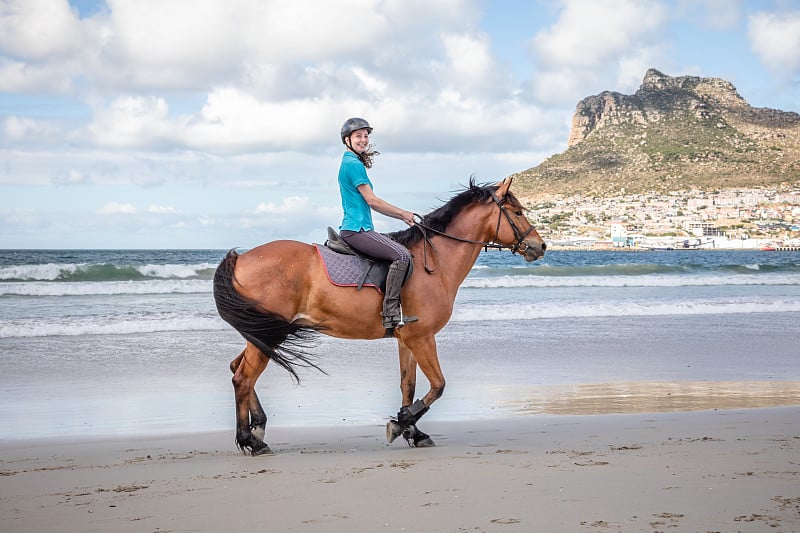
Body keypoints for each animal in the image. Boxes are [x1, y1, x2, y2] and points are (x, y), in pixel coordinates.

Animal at [212, 178, 548, 454]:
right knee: (243, 378)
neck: (434, 263)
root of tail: (241, 257)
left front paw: (413, 431)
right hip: (267, 333)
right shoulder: (422, 337)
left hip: (263, 332)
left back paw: (258, 428)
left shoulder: (407, 338)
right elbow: (438, 385)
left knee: (237, 369)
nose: (540, 246)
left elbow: (408, 384)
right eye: (517, 212)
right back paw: (249, 440)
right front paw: (402, 422)